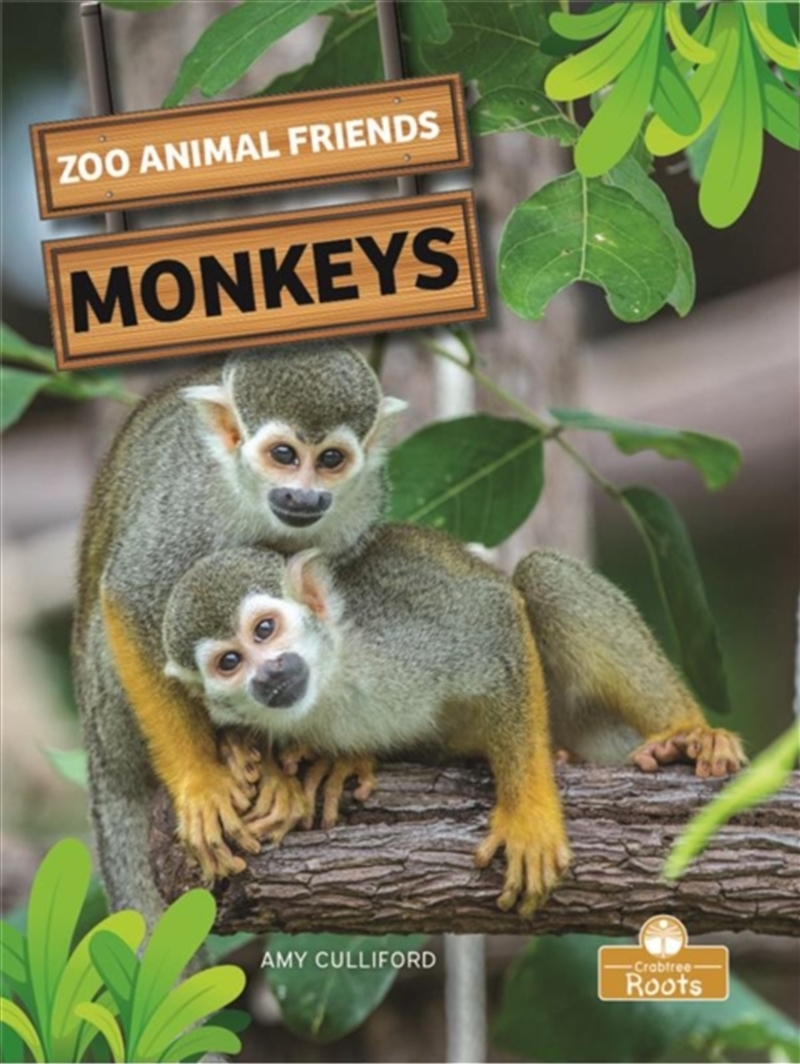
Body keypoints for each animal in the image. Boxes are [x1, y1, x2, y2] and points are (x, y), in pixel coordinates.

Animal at [72, 340, 408, 923]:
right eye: (284, 455)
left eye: (331, 460)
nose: (303, 497)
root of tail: (99, 758)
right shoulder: (189, 499)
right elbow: (131, 597)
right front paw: (200, 779)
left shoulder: (361, 502)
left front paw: (328, 752)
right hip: (109, 717)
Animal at [162, 529, 572, 918]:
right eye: (229, 662)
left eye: (264, 629)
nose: (268, 674)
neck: (334, 675)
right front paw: (267, 771)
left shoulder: (404, 632)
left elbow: (496, 623)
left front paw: (527, 818)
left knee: (543, 576)